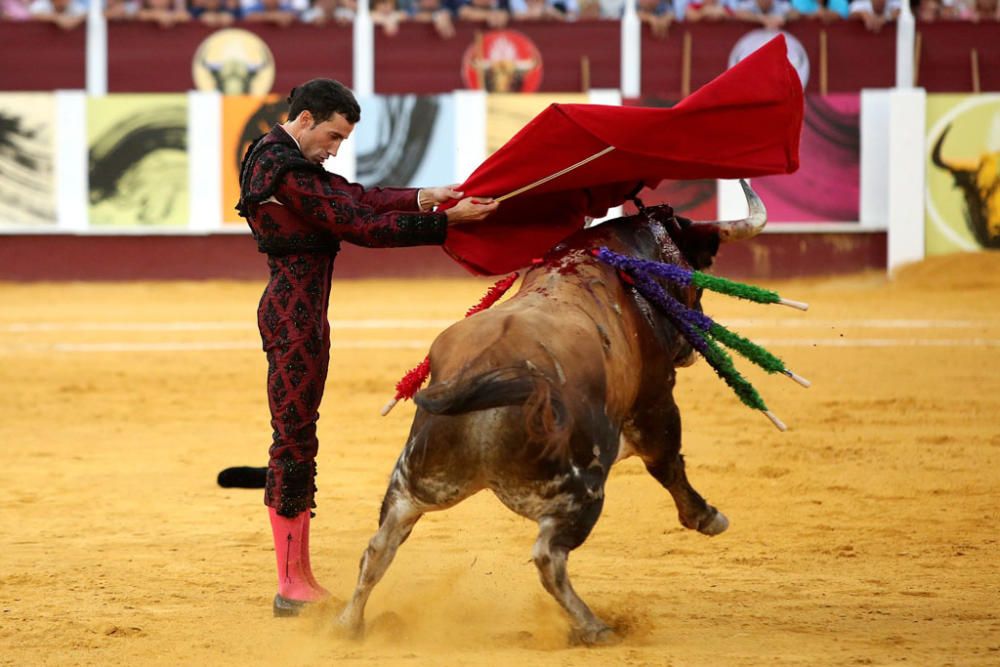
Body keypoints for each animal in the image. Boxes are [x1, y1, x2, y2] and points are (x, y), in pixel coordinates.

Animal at [340, 180, 768, 644]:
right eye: (694, 280)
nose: (690, 345)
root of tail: (485, 372)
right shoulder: (655, 404)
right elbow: (668, 463)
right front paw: (709, 517)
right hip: (579, 491)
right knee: (548, 556)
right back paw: (594, 627)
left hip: (413, 478)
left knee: (380, 545)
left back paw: (348, 623)